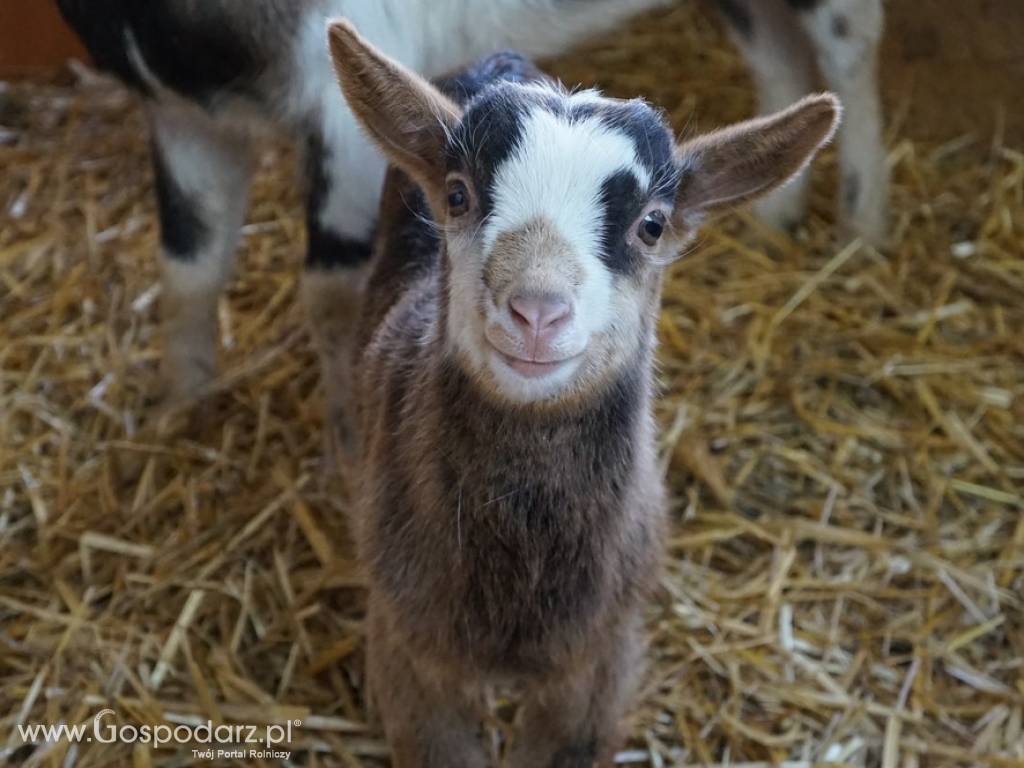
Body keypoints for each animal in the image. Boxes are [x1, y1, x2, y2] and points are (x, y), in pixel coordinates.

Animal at [58, 0, 888, 450]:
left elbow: (329, 291)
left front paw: (346, 442)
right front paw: (182, 410)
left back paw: (864, 221)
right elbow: (188, 267)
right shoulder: (183, 115)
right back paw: (776, 219)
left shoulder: (339, 96)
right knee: (780, 57)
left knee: (849, 49)